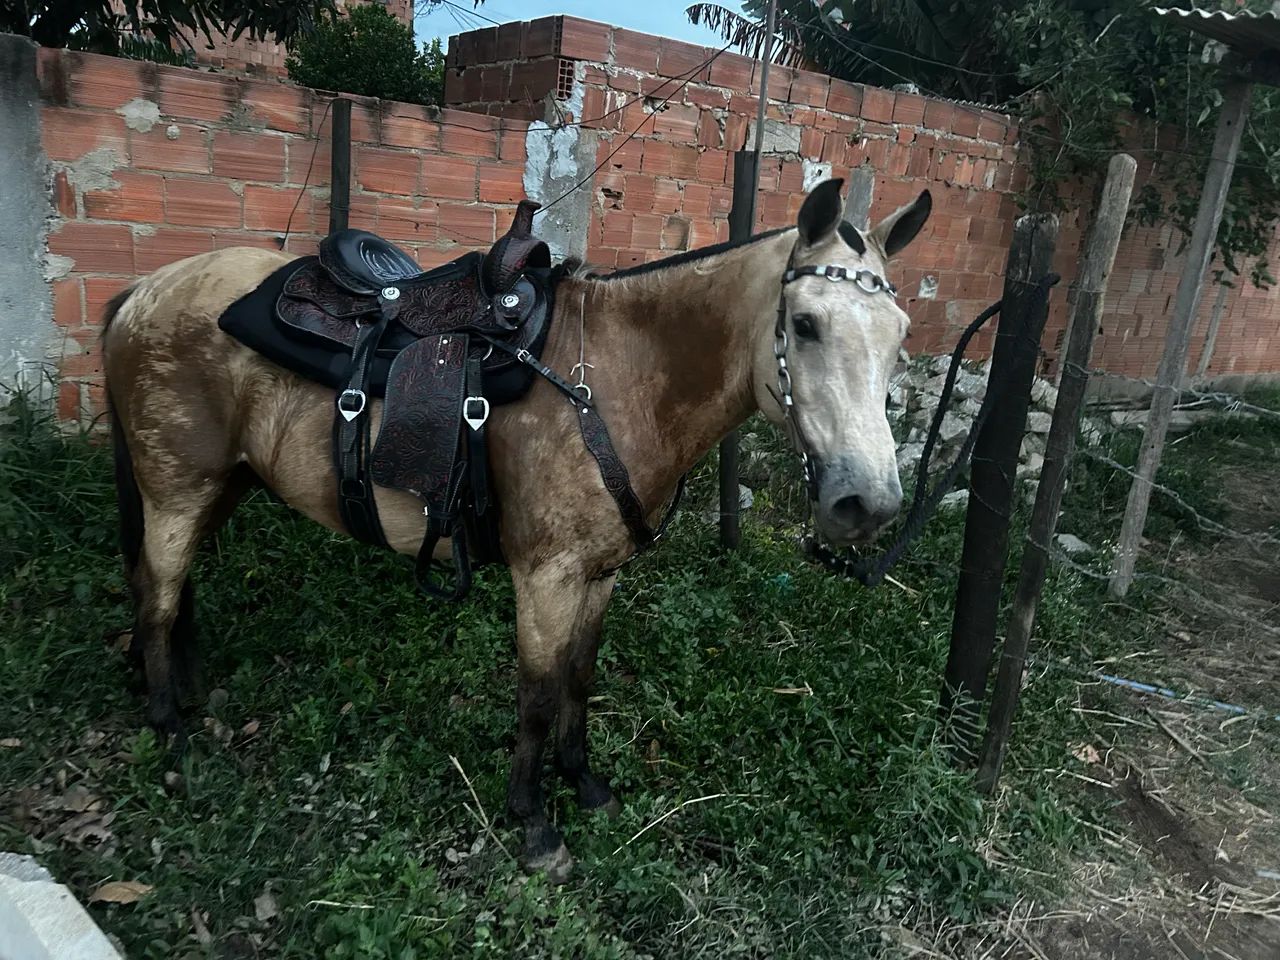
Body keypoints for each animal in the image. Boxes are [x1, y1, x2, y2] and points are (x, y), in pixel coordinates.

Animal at [101, 178, 931, 880]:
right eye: (806, 325)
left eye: (900, 335)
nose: (868, 503)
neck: (615, 378)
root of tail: (143, 291)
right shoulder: (546, 577)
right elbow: (536, 693)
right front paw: (533, 825)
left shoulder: (601, 575)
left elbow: (579, 679)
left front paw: (584, 783)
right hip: (176, 490)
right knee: (157, 594)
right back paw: (169, 729)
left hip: (221, 485)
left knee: (173, 588)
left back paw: (192, 691)